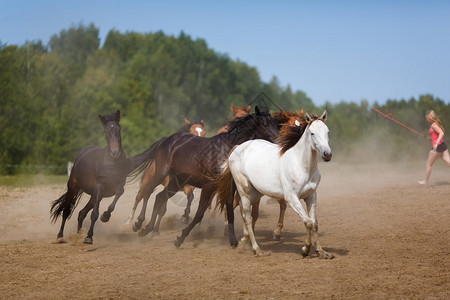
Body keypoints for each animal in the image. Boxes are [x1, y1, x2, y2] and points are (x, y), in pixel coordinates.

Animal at [49, 110, 149, 244]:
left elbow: (118, 194)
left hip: (95, 196)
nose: (115, 152)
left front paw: (105, 216)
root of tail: (81, 154)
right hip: (74, 187)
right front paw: (89, 237)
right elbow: (95, 214)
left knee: (81, 213)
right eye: (105, 131)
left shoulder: (117, 186)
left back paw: (78, 235)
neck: (112, 163)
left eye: (118, 129)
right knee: (66, 211)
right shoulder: (99, 186)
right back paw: (60, 236)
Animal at [130, 106, 280, 247]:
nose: (278, 140)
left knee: (159, 197)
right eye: (265, 124)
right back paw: (138, 224)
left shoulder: (228, 187)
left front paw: (233, 241)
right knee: (146, 193)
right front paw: (180, 239)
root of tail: (166, 140)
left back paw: (146, 229)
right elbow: (199, 213)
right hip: (160, 174)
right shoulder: (208, 186)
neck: (226, 151)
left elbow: (230, 212)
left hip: (176, 181)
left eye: (274, 122)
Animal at [216, 110, 332, 258]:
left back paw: (243, 241)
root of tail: (237, 148)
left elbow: (315, 223)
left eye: (327, 131)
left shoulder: (311, 196)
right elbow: (308, 222)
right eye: (312, 133)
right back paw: (256, 249)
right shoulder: (292, 198)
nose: (327, 154)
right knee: (247, 216)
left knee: (243, 211)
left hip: (256, 193)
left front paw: (321, 251)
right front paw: (305, 249)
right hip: (244, 190)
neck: (301, 165)